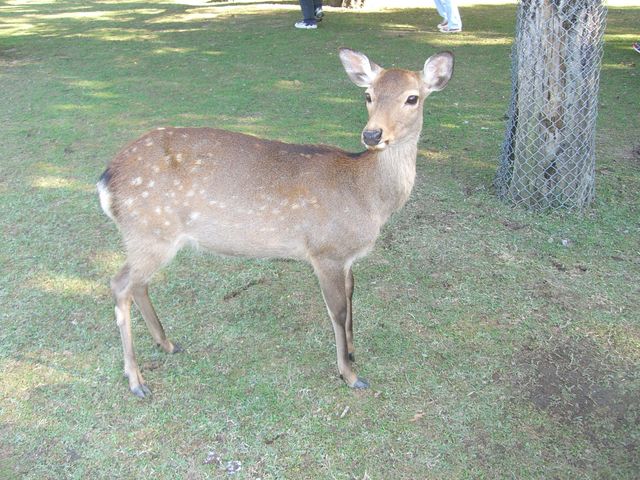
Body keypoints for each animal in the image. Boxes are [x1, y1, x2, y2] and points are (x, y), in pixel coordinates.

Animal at [96, 47, 456, 398]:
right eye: (368, 94)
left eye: (412, 98)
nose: (372, 134)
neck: (367, 197)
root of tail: (106, 179)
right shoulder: (326, 250)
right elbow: (338, 311)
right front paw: (350, 375)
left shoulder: (347, 257)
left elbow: (353, 296)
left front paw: (354, 352)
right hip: (150, 230)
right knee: (120, 284)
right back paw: (136, 380)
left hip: (149, 236)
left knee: (137, 284)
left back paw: (167, 343)